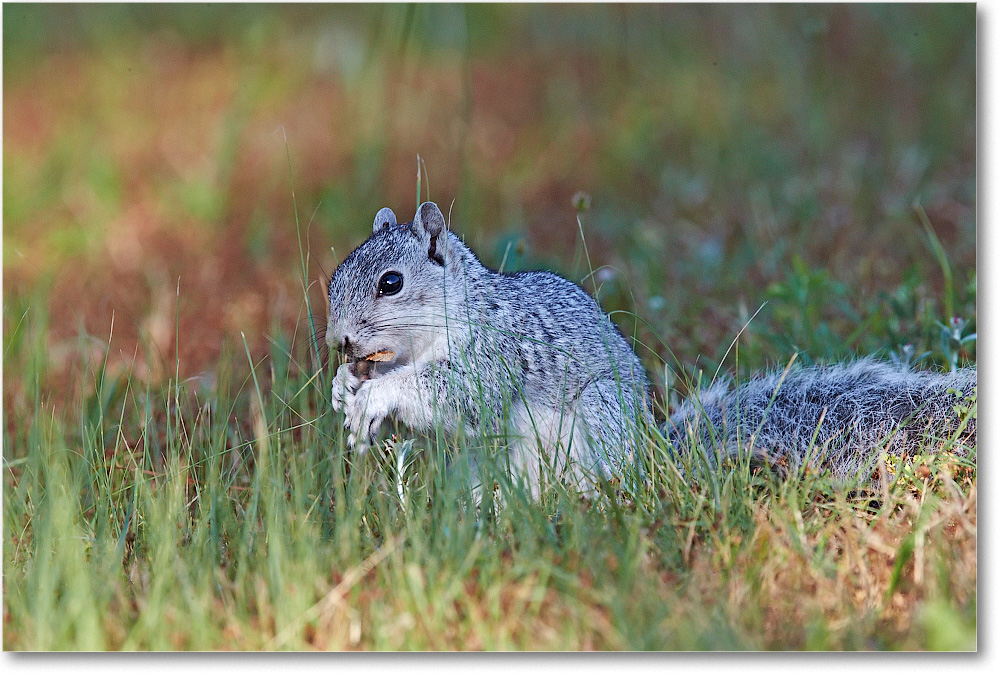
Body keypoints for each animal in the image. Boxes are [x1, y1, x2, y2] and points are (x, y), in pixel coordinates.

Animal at [326, 199, 976, 492]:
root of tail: (649, 457)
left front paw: (374, 397)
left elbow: (458, 393)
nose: (339, 342)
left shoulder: (500, 351)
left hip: (593, 431)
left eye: (391, 283)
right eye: (335, 277)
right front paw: (344, 390)